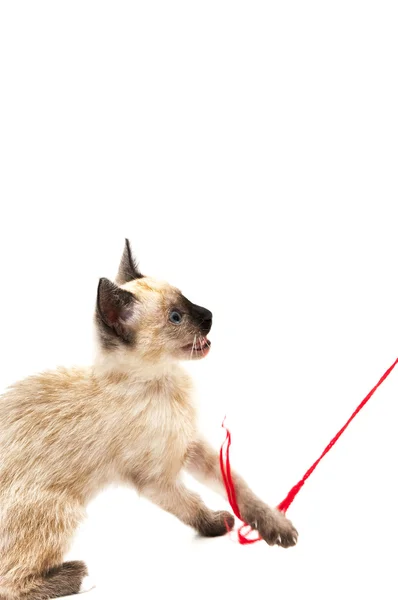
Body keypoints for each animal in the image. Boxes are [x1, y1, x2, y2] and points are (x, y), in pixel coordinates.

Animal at [0, 240, 296, 600]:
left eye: (187, 300)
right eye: (175, 318)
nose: (210, 316)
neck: (163, 382)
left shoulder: (191, 446)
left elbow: (240, 488)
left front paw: (276, 528)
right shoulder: (156, 479)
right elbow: (192, 505)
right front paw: (216, 525)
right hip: (64, 509)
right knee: (10, 583)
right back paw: (82, 575)